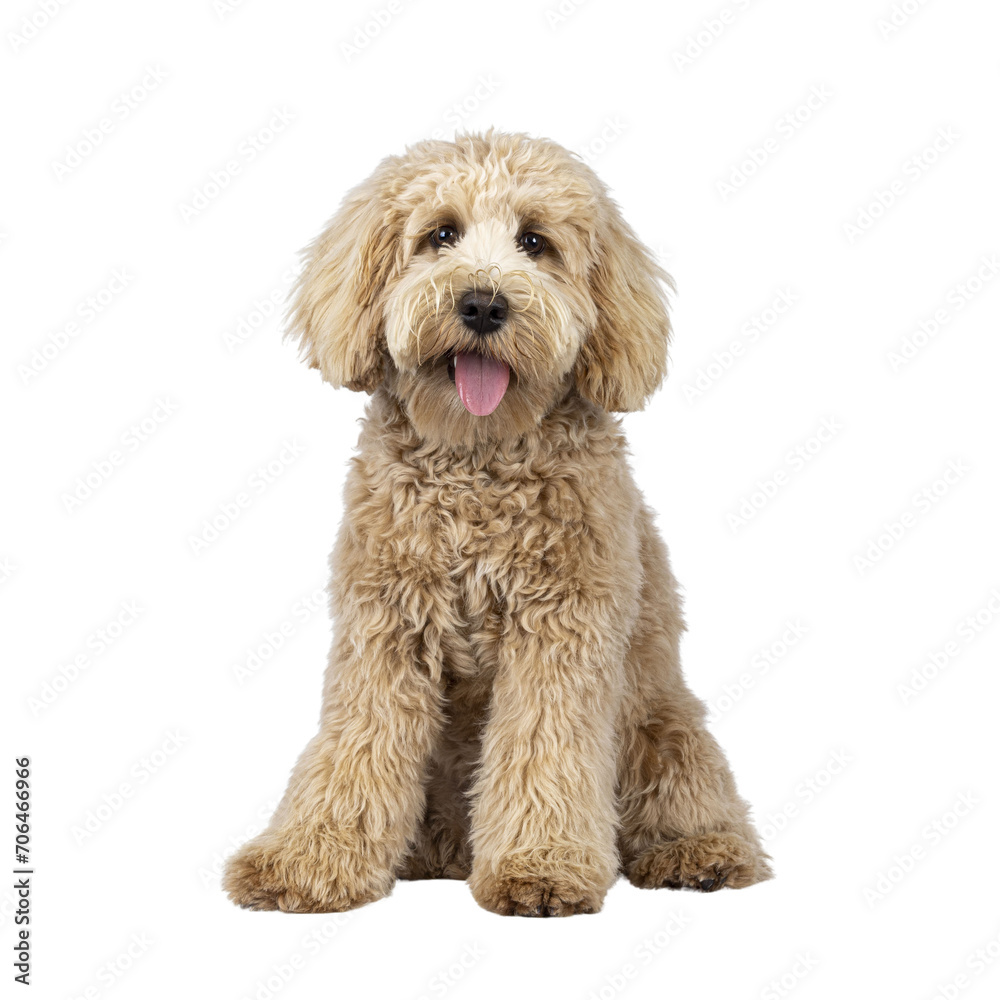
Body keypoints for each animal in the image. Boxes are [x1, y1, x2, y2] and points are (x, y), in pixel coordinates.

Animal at [225, 131, 772, 916]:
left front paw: (540, 867)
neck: (477, 461)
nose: (482, 304)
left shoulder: (561, 634)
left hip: (661, 724)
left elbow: (543, 751)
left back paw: (699, 853)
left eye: (535, 242)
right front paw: (307, 861)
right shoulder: (382, 631)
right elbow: (355, 746)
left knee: (686, 797)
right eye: (440, 235)